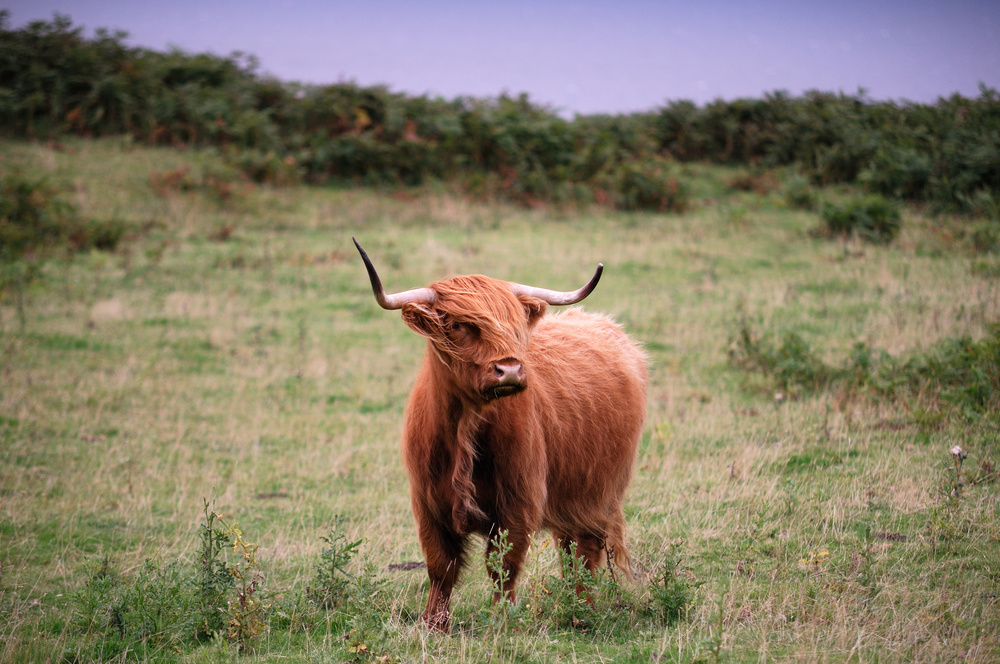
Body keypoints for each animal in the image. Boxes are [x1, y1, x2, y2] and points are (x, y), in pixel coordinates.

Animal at [354, 239, 648, 632]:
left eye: (514, 324)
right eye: (458, 324)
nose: (509, 369)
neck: (465, 426)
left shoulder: (518, 502)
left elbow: (503, 566)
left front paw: (501, 620)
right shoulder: (428, 504)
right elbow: (441, 566)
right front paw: (434, 624)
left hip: (597, 491)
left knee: (586, 550)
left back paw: (580, 613)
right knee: (568, 548)